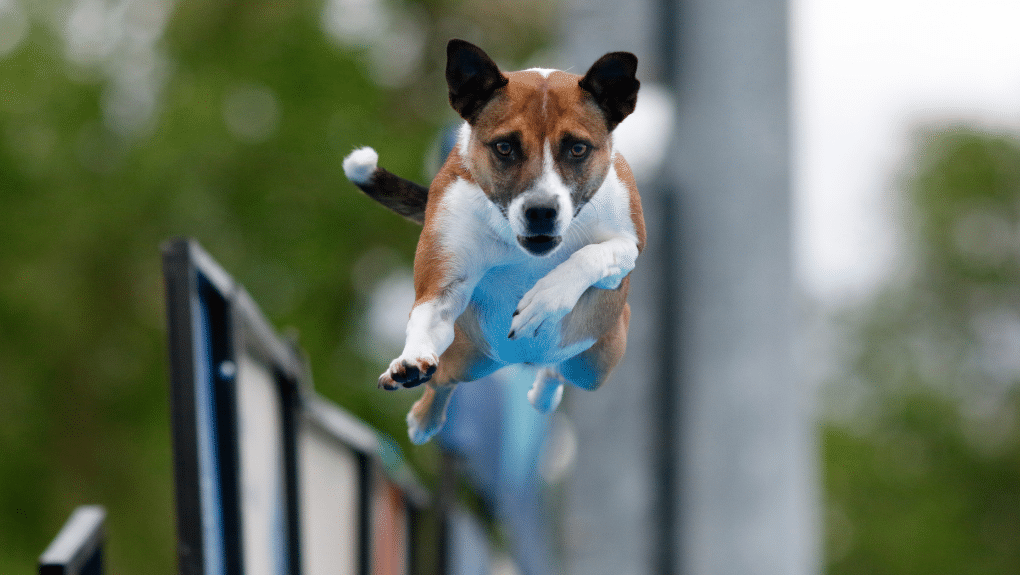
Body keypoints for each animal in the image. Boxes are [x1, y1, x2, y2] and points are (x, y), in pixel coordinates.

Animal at [342, 39, 644, 444]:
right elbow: (428, 312)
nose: (541, 211)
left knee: (559, 370)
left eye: (578, 149)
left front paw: (545, 299)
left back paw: (542, 393)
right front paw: (411, 359)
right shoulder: (445, 275)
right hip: (469, 356)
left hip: (600, 358)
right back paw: (424, 419)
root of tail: (524, 360)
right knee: (444, 380)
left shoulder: (630, 241)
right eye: (504, 147)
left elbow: (595, 254)